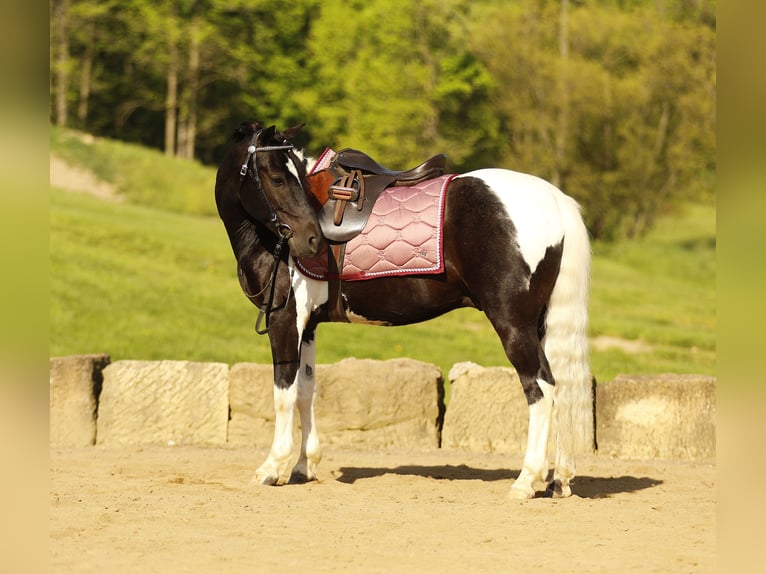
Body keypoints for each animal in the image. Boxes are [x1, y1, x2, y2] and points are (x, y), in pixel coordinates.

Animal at [215, 121, 592, 499]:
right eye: (278, 178)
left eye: (288, 177)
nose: (311, 241)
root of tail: (556, 201)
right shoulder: (307, 326)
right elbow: (306, 391)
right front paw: (304, 466)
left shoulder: (285, 319)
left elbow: (284, 392)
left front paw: (272, 468)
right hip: (539, 324)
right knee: (560, 385)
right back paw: (560, 479)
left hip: (513, 325)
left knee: (541, 387)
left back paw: (527, 479)